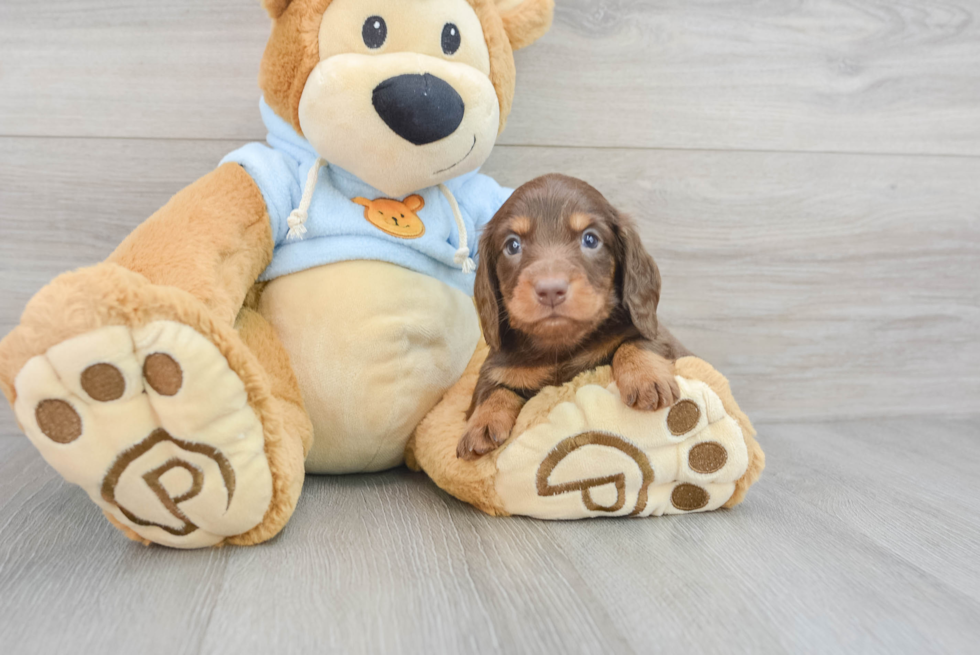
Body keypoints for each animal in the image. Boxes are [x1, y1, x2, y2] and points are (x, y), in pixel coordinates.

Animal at [458, 174, 692, 462]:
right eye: (512, 245)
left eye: (590, 239)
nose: (550, 289)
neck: (559, 346)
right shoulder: (496, 366)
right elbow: (491, 389)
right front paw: (481, 423)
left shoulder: (658, 335)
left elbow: (634, 343)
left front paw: (645, 377)